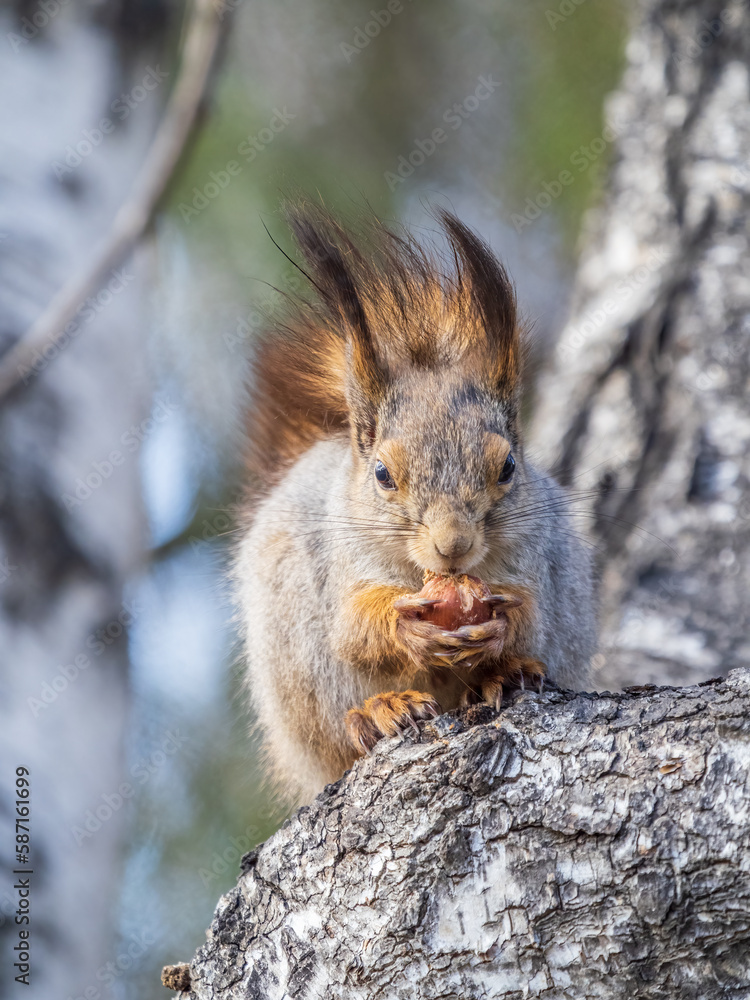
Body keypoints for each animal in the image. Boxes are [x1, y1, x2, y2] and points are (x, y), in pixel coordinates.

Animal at [235, 203, 596, 806]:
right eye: (383, 474)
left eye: (507, 467)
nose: (454, 546)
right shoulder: (345, 560)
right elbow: (354, 629)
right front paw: (405, 627)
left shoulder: (536, 556)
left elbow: (532, 614)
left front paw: (502, 630)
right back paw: (378, 712)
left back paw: (504, 676)